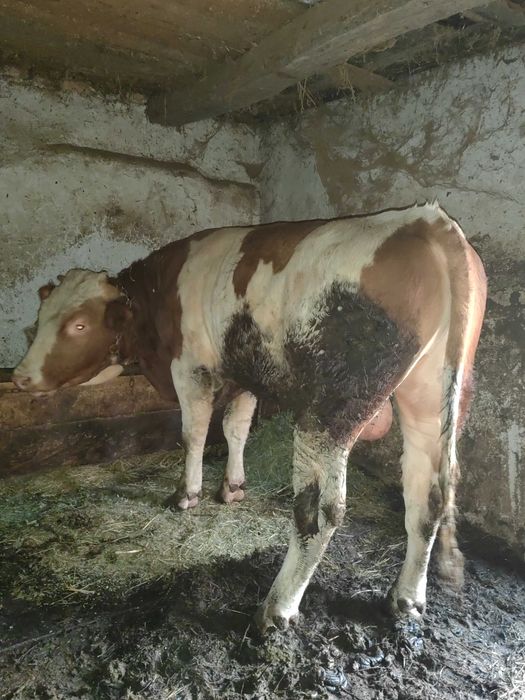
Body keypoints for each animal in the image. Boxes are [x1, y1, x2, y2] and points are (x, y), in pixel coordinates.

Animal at [13, 203, 487, 633]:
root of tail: (431, 222)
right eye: (41, 317)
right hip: (431, 399)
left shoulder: (192, 369)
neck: (158, 298)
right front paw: (233, 487)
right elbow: (235, 428)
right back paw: (405, 599)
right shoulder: (243, 375)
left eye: (78, 325)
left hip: (331, 410)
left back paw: (277, 609)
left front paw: (187, 494)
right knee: (427, 497)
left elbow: (194, 433)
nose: (19, 376)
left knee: (321, 511)